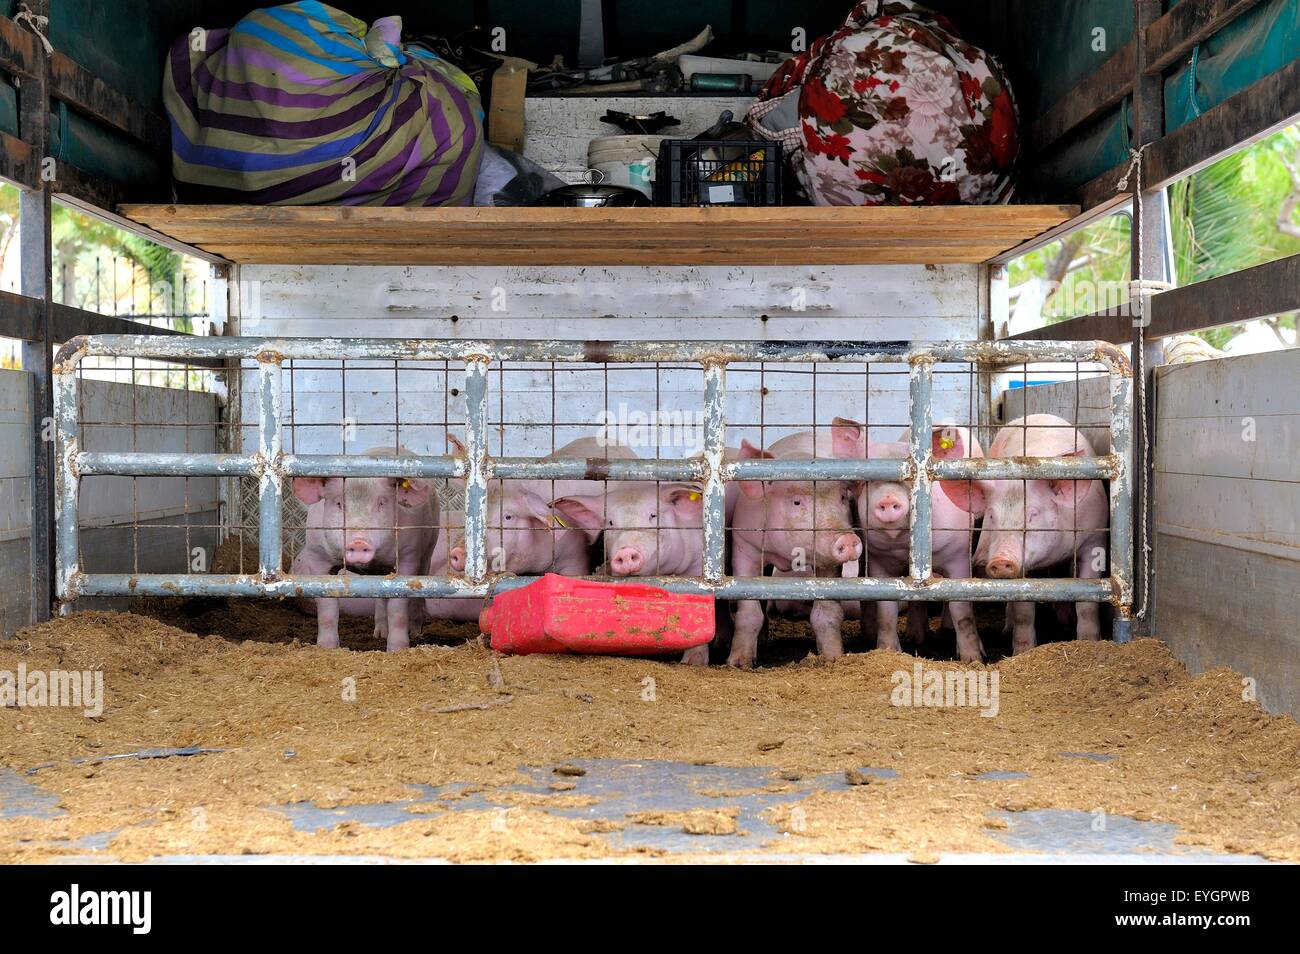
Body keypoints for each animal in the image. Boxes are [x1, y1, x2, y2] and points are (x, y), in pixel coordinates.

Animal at [289, 447, 436, 655]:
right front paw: (326, 647)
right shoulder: (318, 557)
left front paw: (397, 649)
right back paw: (379, 634)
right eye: (339, 504)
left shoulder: (408, 556)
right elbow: (327, 607)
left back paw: (415, 632)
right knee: (381, 595)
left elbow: (398, 607)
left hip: (428, 549)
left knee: (418, 593)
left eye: (381, 503)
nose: (358, 541)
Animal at [832, 418, 982, 665]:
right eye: (869, 480)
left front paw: (973, 660)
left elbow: (961, 610)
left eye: (911, 483)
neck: (903, 547)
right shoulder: (880, 563)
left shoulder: (958, 556)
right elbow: (887, 611)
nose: (888, 498)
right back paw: (916, 637)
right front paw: (887, 651)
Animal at [951, 415, 1112, 655]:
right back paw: (1007, 629)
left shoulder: (1094, 539)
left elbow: (1087, 603)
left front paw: (1088, 643)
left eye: (1033, 514)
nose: (1000, 560)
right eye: (991, 516)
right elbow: (1024, 611)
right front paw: (1022, 652)